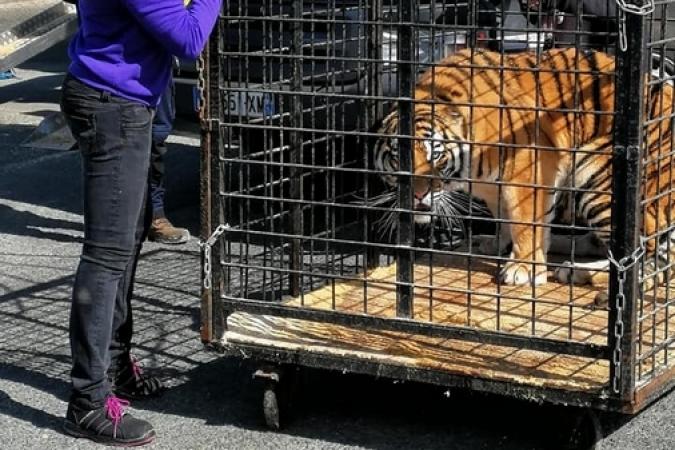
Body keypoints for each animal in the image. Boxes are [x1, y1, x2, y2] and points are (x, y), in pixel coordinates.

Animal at [374, 47, 675, 286]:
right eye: (398, 157)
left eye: (435, 155)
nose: (417, 195)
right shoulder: (492, 186)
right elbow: (504, 217)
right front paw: (498, 244)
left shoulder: (527, 168)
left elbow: (523, 221)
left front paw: (523, 269)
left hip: (595, 173)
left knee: (646, 254)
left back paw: (575, 272)